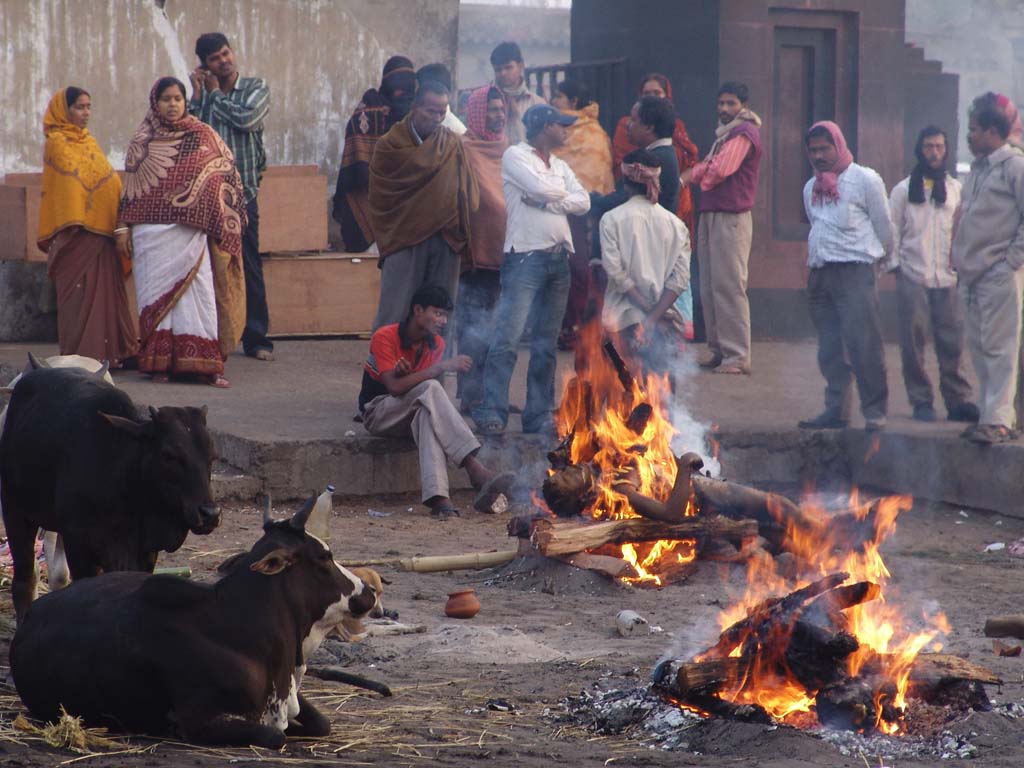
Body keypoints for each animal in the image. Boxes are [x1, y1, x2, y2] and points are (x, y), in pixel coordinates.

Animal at [0, 364, 220, 618]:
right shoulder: (80, 546)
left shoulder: (144, 552)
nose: (210, 514)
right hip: (15, 511)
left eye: (212, 455)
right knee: (25, 581)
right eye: (168, 454)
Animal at [11, 495, 380, 749]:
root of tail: (33, 613)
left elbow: (320, 723)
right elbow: (275, 737)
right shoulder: (199, 719)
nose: (369, 592)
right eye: (324, 557)